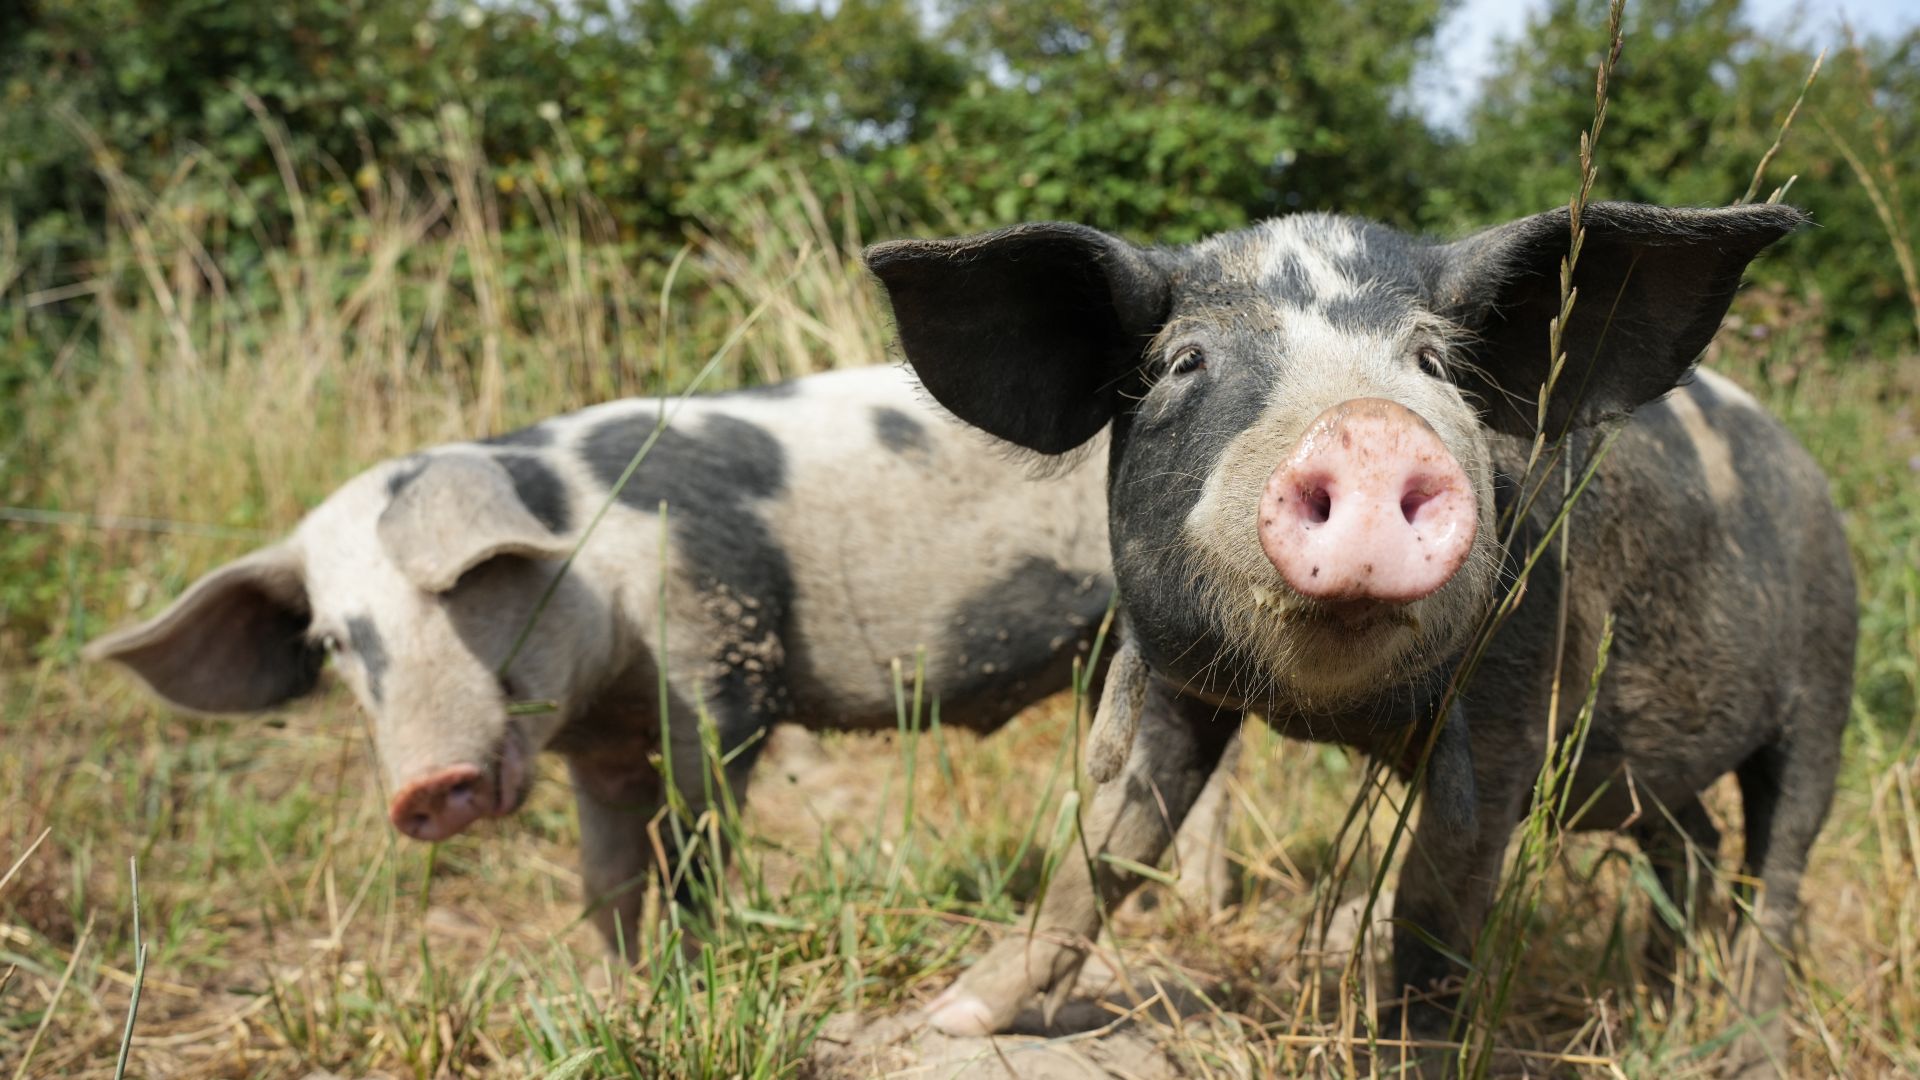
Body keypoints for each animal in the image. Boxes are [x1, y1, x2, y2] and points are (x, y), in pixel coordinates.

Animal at [86, 367, 1228, 949]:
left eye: (461, 585)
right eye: (333, 639)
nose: (424, 785)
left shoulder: (720, 676)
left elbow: (692, 848)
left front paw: (692, 968)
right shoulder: (596, 750)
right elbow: (604, 879)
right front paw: (621, 984)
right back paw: (1189, 909)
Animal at [871, 201, 1858, 1068]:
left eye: (1432, 361)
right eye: (1186, 360)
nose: (1369, 427)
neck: (1333, 713)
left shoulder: (1513, 703)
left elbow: (1433, 917)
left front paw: (1404, 1057)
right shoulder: (1181, 690)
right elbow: (1111, 843)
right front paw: (954, 1016)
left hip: (1824, 686)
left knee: (1777, 874)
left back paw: (1746, 1055)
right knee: (1693, 844)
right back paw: (1661, 1003)